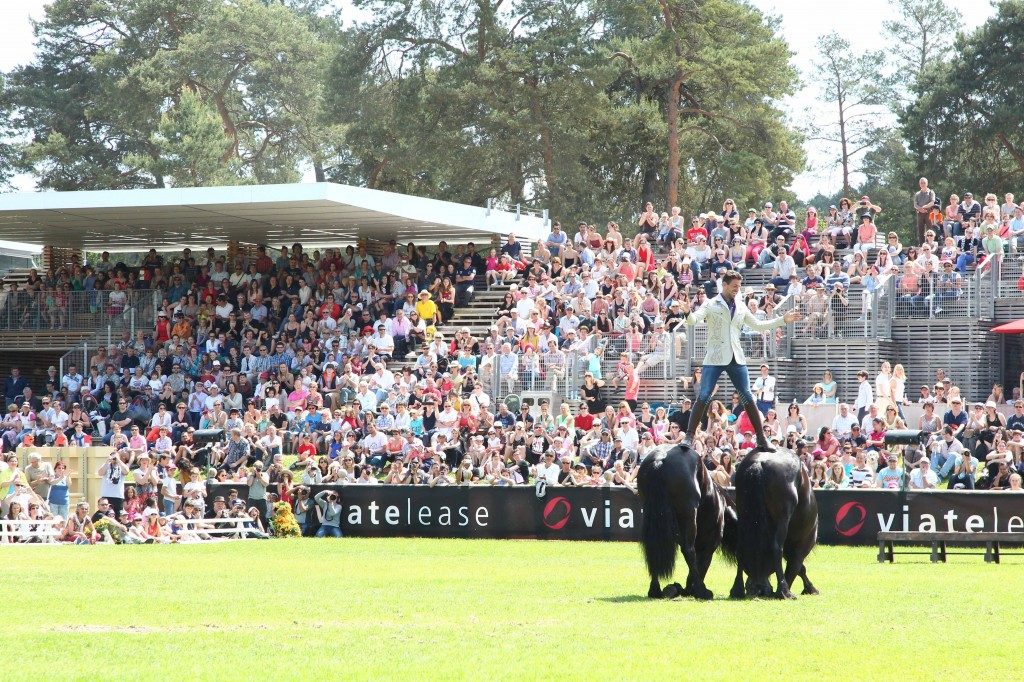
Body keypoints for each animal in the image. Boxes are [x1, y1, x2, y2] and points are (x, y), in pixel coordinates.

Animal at [634, 440, 733, 593]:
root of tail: (659, 460)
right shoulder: (709, 545)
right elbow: (700, 561)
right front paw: (693, 586)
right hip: (688, 515)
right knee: (688, 550)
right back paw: (700, 590)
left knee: (654, 548)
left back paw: (655, 589)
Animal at [724, 448, 819, 598]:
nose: (755, 588)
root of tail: (759, 462)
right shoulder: (800, 546)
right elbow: (796, 567)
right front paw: (806, 588)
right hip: (783, 521)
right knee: (777, 548)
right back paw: (784, 591)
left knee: (742, 548)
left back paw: (737, 589)